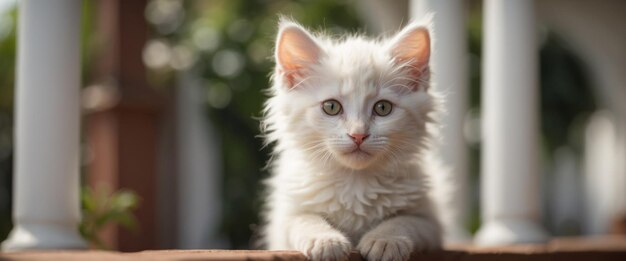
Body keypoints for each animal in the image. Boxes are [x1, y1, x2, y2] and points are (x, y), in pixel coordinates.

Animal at [260, 18, 442, 260]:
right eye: (331, 107)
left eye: (383, 108)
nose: (358, 134)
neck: (356, 183)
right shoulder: (283, 220)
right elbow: (304, 220)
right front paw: (325, 241)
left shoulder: (431, 223)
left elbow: (404, 221)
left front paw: (384, 240)